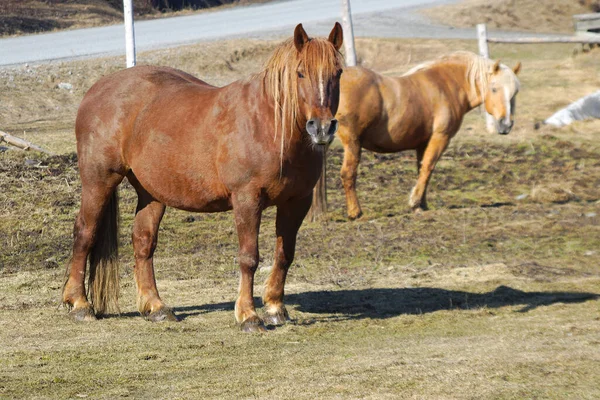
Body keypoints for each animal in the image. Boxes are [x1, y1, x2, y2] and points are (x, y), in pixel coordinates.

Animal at [63, 23, 344, 332]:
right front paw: (249, 315)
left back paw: (155, 306)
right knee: (84, 233)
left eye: (338, 72)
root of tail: (97, 90)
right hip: (99, 182)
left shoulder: (297, 202)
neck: (270, 125)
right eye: (300, 72)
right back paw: (79, 304)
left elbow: (285, 254)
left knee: (143, 240)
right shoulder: (247, 199)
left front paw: (275, 308)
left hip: (151, 193)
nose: (322, 127)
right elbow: (249, 257)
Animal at [332, 50, 520, 219]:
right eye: (494, 89)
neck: (446, 85)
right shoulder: (440, 138)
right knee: (348, 173)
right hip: (352, 143)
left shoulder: (422, 143)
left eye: (515, 92)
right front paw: (415, 202)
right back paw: (355, 212)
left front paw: (421, 205)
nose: (506, 125)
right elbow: (429, 167)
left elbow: (422, 170)